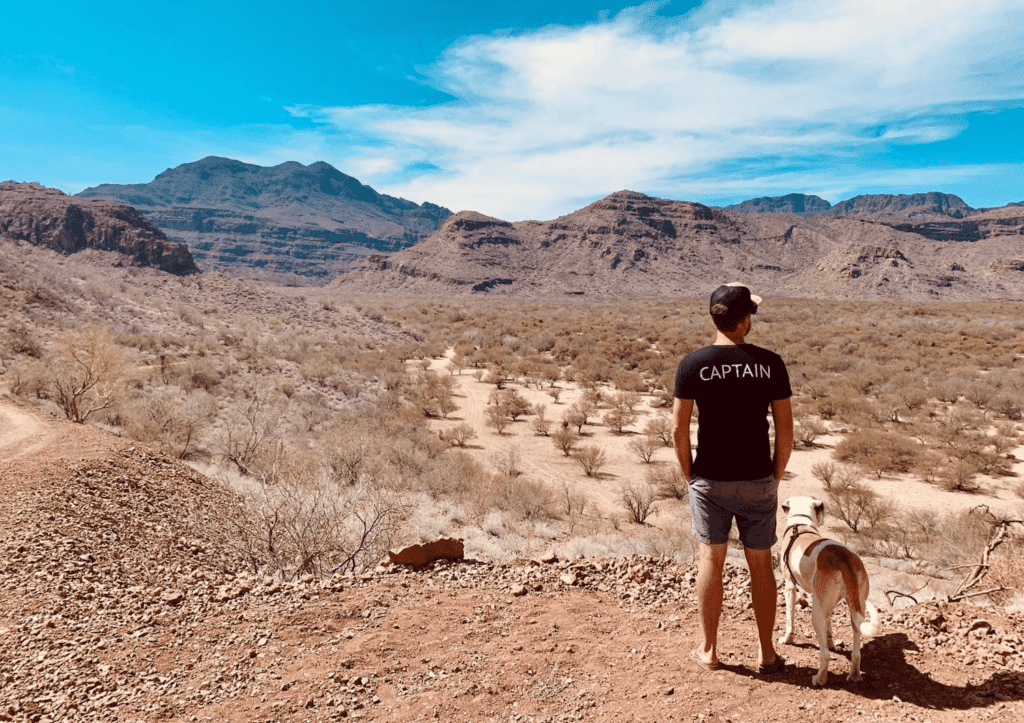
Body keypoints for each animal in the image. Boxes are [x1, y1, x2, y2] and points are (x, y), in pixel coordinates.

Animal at [774, 493, 880, 684]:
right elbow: (829, 627)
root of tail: (844, 558)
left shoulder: (790, 587)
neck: (800, 523)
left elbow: (789, 620)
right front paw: (831, 642)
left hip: (816, 613)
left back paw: (819, 679)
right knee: (856, 652)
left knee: (825, 655)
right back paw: (854, 675)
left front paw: (787, 639)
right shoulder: (827, 605)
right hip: (855, 609)